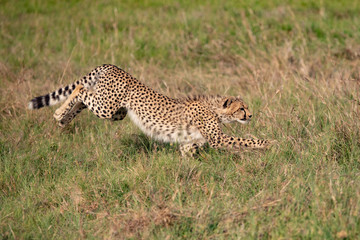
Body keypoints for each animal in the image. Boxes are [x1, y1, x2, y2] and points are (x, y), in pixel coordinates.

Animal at [28, 64, 270, 157]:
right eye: (241, 108)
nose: (251, 115)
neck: (215, 109)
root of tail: (113, 66)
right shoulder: (218, 139)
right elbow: (245, 140)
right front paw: (269, 143)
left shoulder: (194, 141)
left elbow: (189, 151)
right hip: (107, 107)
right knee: (80, 90)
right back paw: (59, 114)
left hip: (117, 112)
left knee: (83, 99)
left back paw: (62, 118)